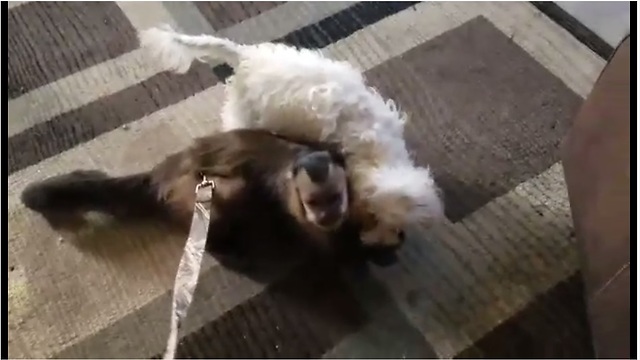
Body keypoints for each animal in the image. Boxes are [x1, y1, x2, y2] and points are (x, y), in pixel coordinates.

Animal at [138, 26, 442, 248]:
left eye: (399, 226)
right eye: (378, 220)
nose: (393, 241)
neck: (377, 152)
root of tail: (247, 57)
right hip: (245, 117)